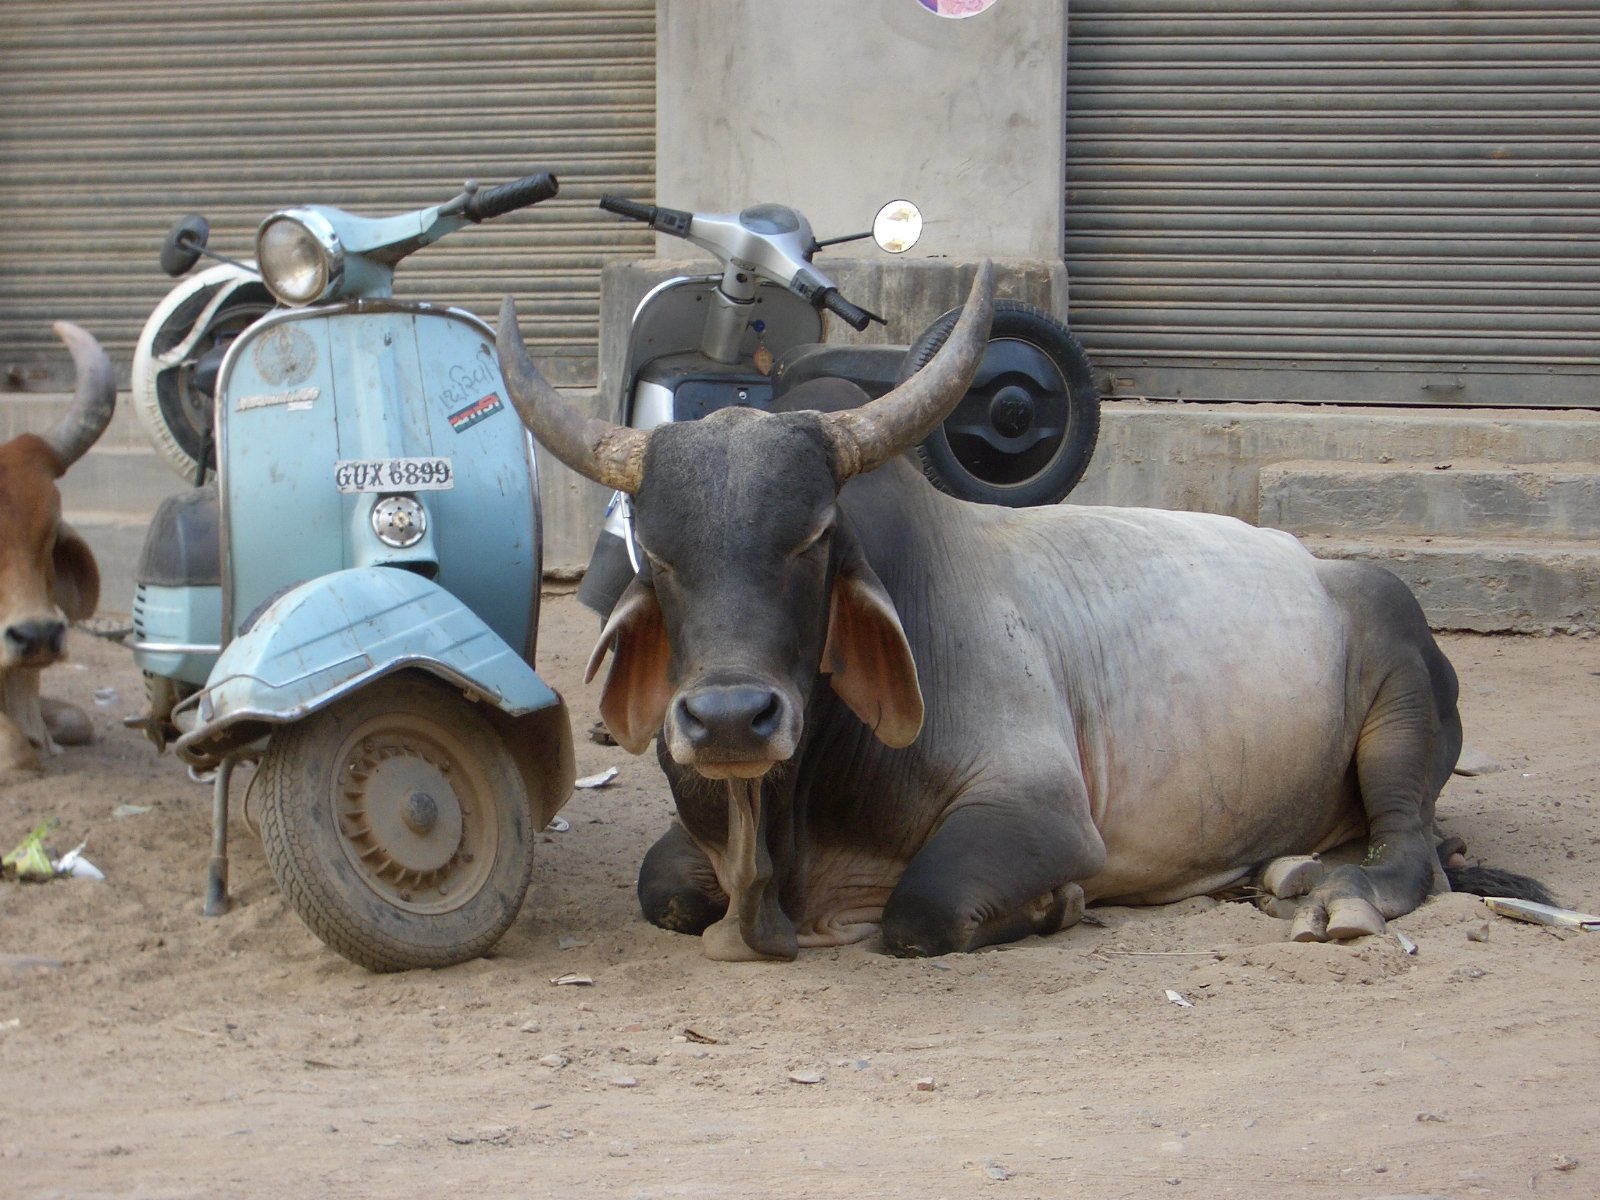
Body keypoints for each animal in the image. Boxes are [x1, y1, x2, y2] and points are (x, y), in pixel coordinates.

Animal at [508, 265, 1510, 966]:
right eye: (656, 551)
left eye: (816, 538)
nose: (726, 720)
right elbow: (665, 890)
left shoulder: (1043, 814)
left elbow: (921, 911)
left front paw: (1056, 905)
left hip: (1399, 681)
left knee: (1410, 849)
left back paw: (1335, 893)